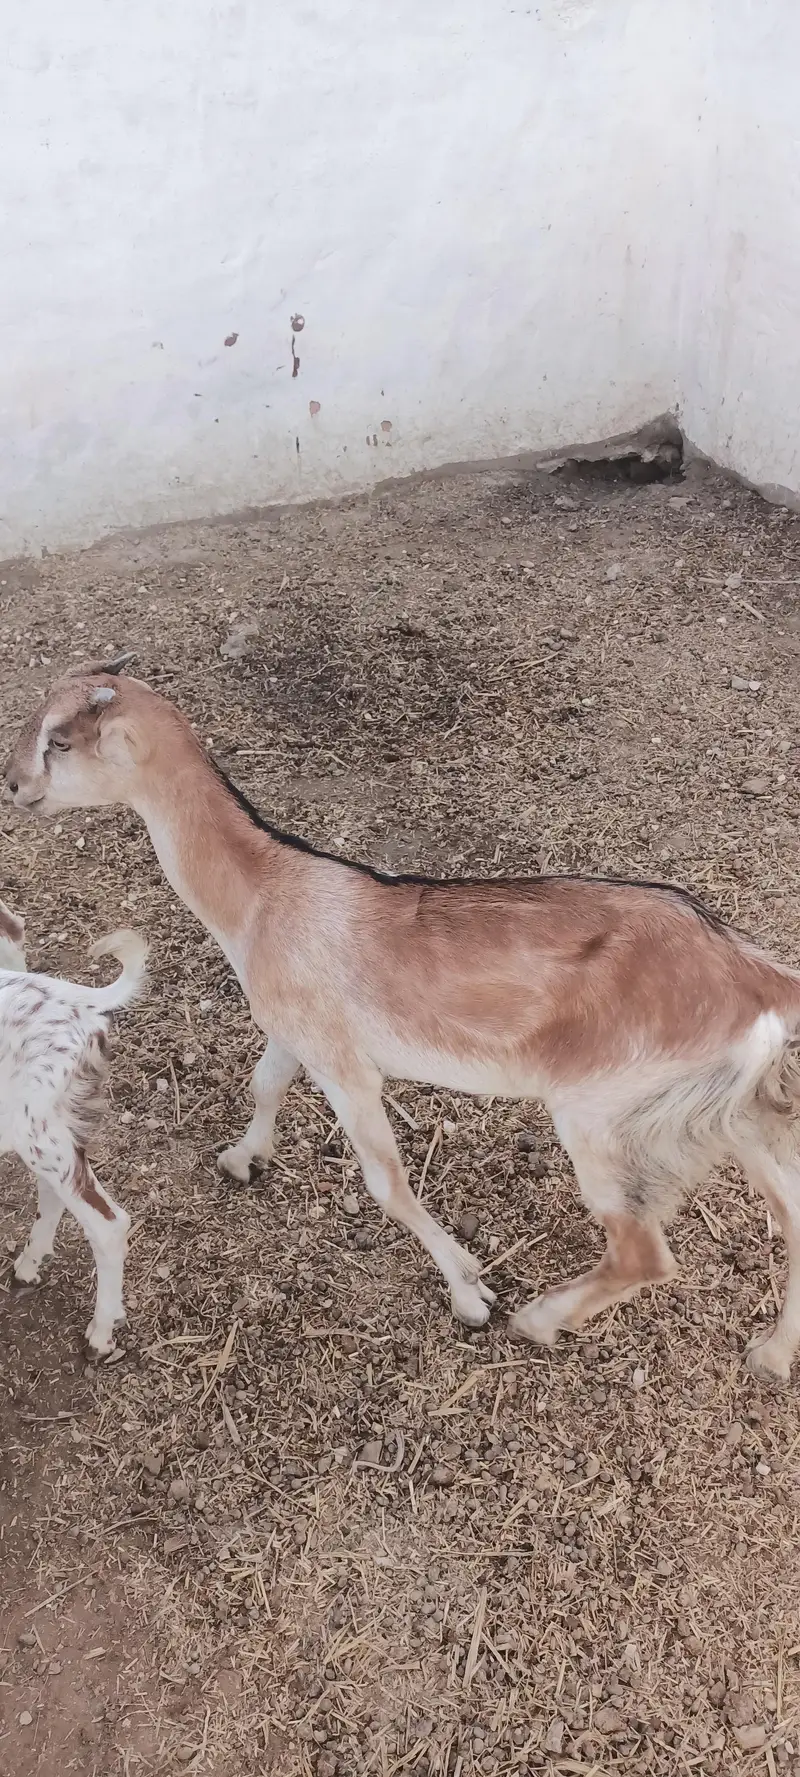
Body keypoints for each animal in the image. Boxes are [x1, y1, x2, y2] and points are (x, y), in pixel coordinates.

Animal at [0, 893, 146, 1355]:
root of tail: (81, 1005)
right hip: (49, 1129)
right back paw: (29, 1266)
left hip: (38, 1131)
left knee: (109, 1224)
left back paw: (100, 1334)